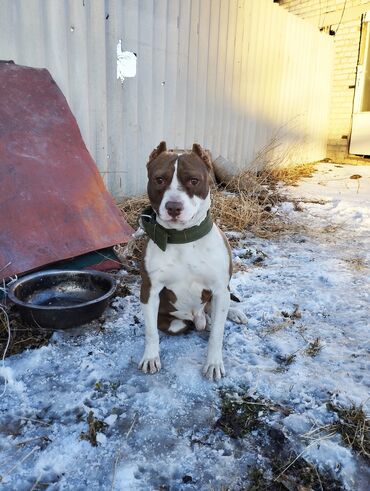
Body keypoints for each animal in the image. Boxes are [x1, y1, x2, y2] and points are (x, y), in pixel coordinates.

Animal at [139, 141, 246, 380]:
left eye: (193, 180)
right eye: (159, 179)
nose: (173, 207)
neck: (183, 238)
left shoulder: (219, 288)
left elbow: (217, 334)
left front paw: (213, 363)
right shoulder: (149, 290)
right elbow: (151, 332)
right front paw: (150, 357)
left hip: (221, 294)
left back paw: (232, 313)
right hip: (175, 321)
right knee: (187, 323)